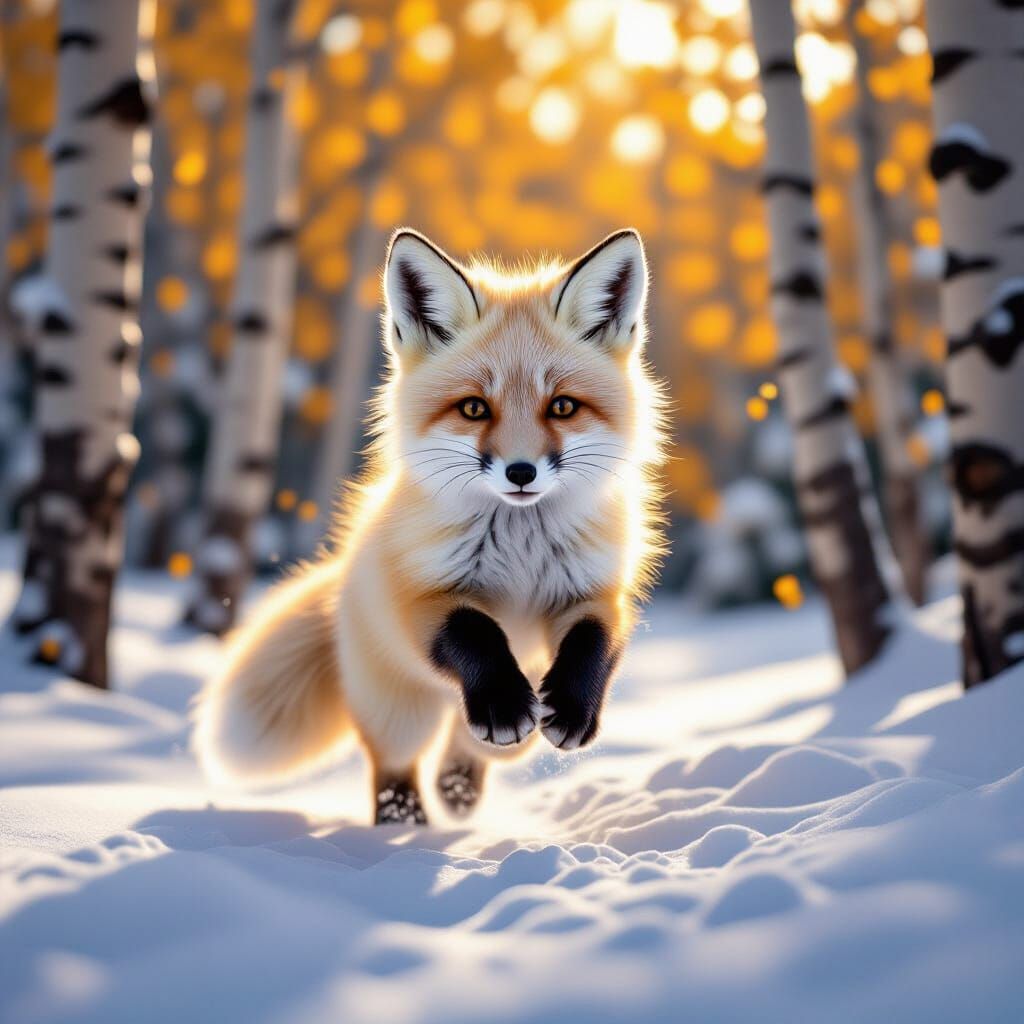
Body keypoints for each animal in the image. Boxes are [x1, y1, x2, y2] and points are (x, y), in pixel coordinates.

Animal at [193, 227, 666, 824]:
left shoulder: (597, 591)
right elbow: (474, 632)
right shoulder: (419, 597)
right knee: (394, 772)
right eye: (473, 408)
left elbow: (593, 642)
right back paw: (406, 824)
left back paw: (459, 787)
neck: (520, 550)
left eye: (562, 407)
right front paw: (501, 703)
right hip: (400, 713)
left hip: (498, 731)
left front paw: (573, 710)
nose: (521, 472)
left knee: (472, 749)